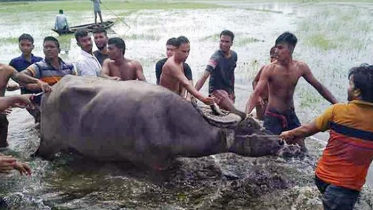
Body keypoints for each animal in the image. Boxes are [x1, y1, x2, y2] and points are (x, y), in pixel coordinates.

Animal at [36, 75, 294, 167]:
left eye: (259, 124)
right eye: (249, 126)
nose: (281, 142)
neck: (172, 124)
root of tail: (49, 90)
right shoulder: (153, 163)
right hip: (47, 144)